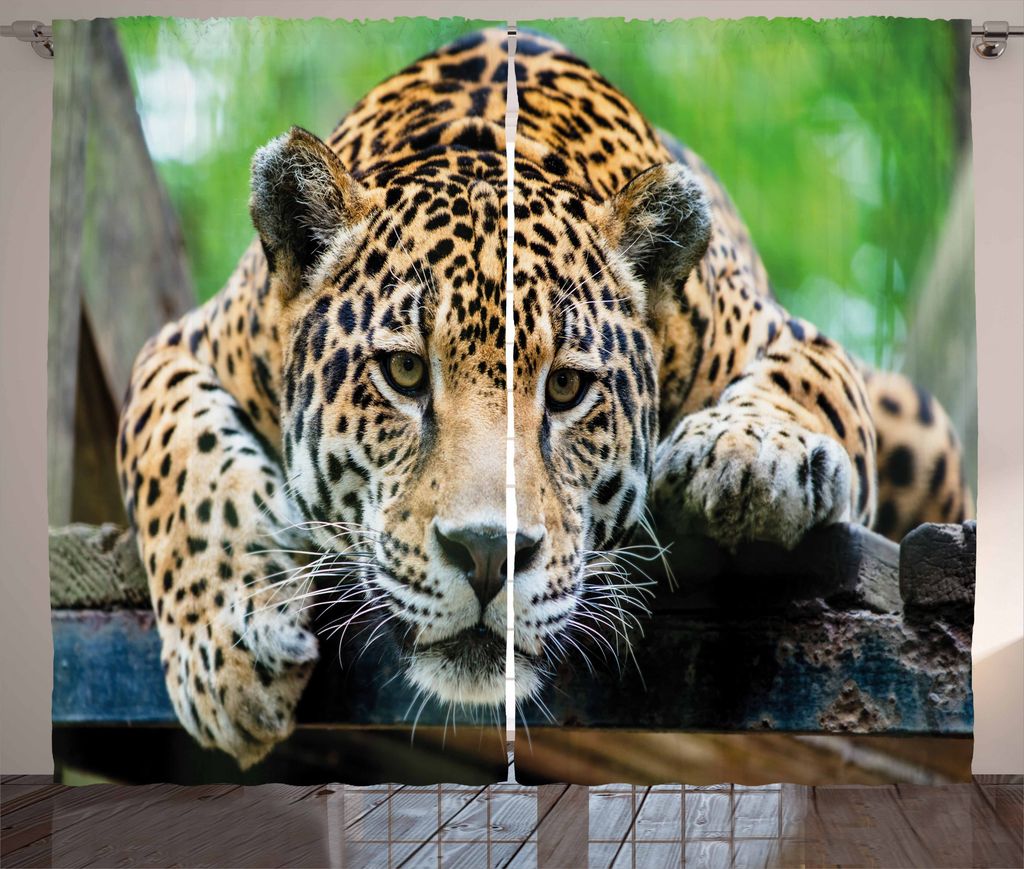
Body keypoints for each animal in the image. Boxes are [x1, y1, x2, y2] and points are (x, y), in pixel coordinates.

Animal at [117, 28, 971, 767]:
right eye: (404, 373)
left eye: (565, 387)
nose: (489, 553)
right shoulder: (182, 344)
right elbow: (180, 458)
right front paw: (228, 652)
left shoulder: (787, 334)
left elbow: (805, 382)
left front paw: (748, 455)